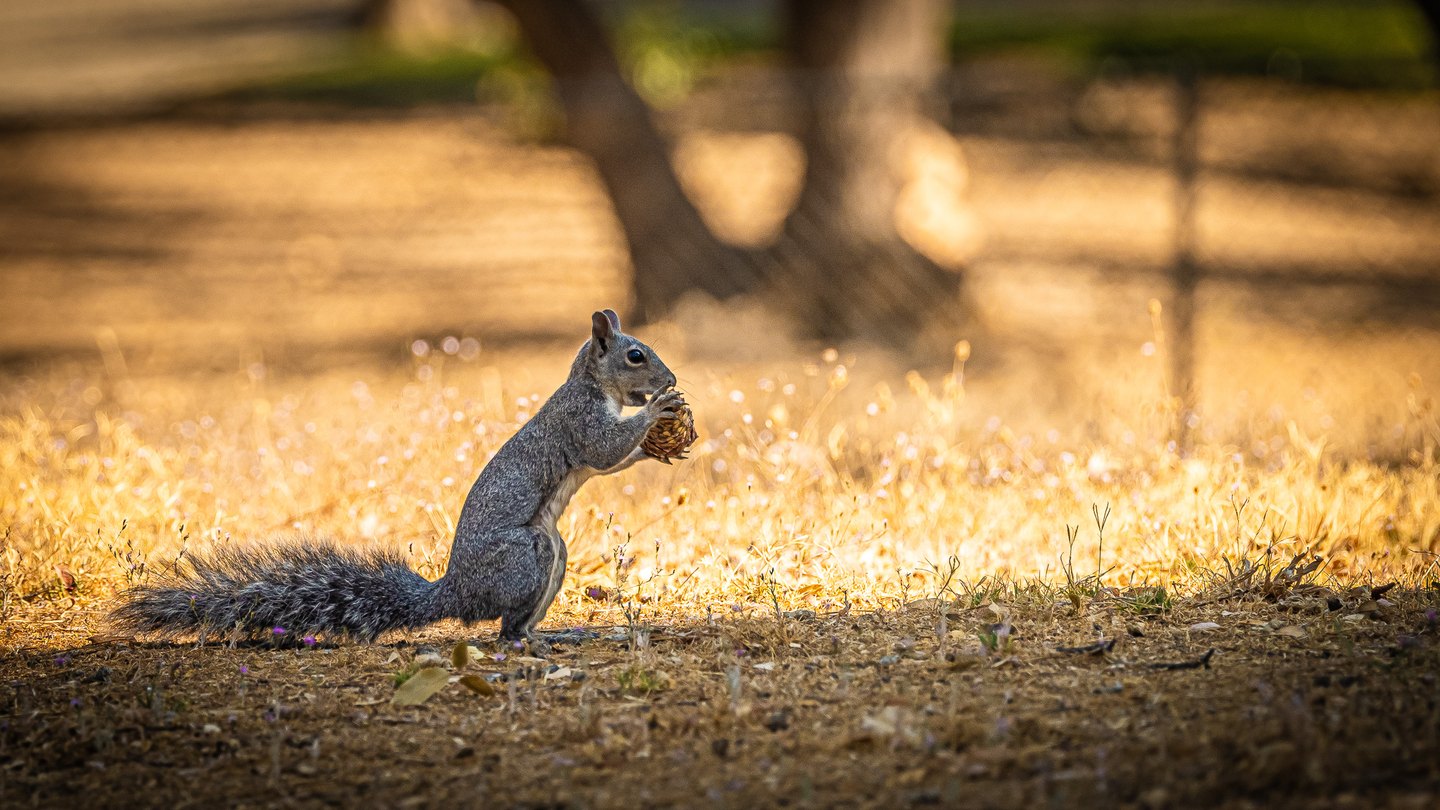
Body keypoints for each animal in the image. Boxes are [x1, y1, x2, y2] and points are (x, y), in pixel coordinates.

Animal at [111, 310, 685, 645]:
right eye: (635, 355)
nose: (672, 378)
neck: (594, 386)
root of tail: (452, 594)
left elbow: (615, 458)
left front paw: (659, 446)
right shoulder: (579, 421)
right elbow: (603, 448)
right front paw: (657, 411)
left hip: (551, 552)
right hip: (527, 554)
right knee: (503, 629)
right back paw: (534, 640)